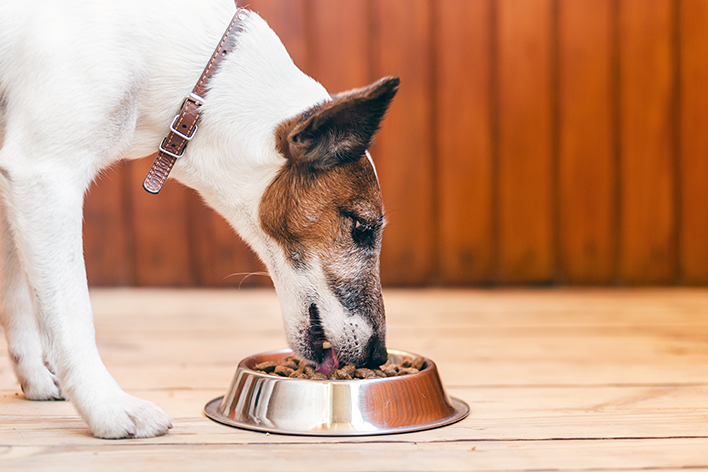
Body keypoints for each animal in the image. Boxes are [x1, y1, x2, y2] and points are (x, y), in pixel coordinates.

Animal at [0, 0, 398, 438]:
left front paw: (36, 378)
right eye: (362, 228)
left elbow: (17, 296)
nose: (378, 357)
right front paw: (107, 407)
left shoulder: (16, 186)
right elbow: (71, 317)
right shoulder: (45, 175)